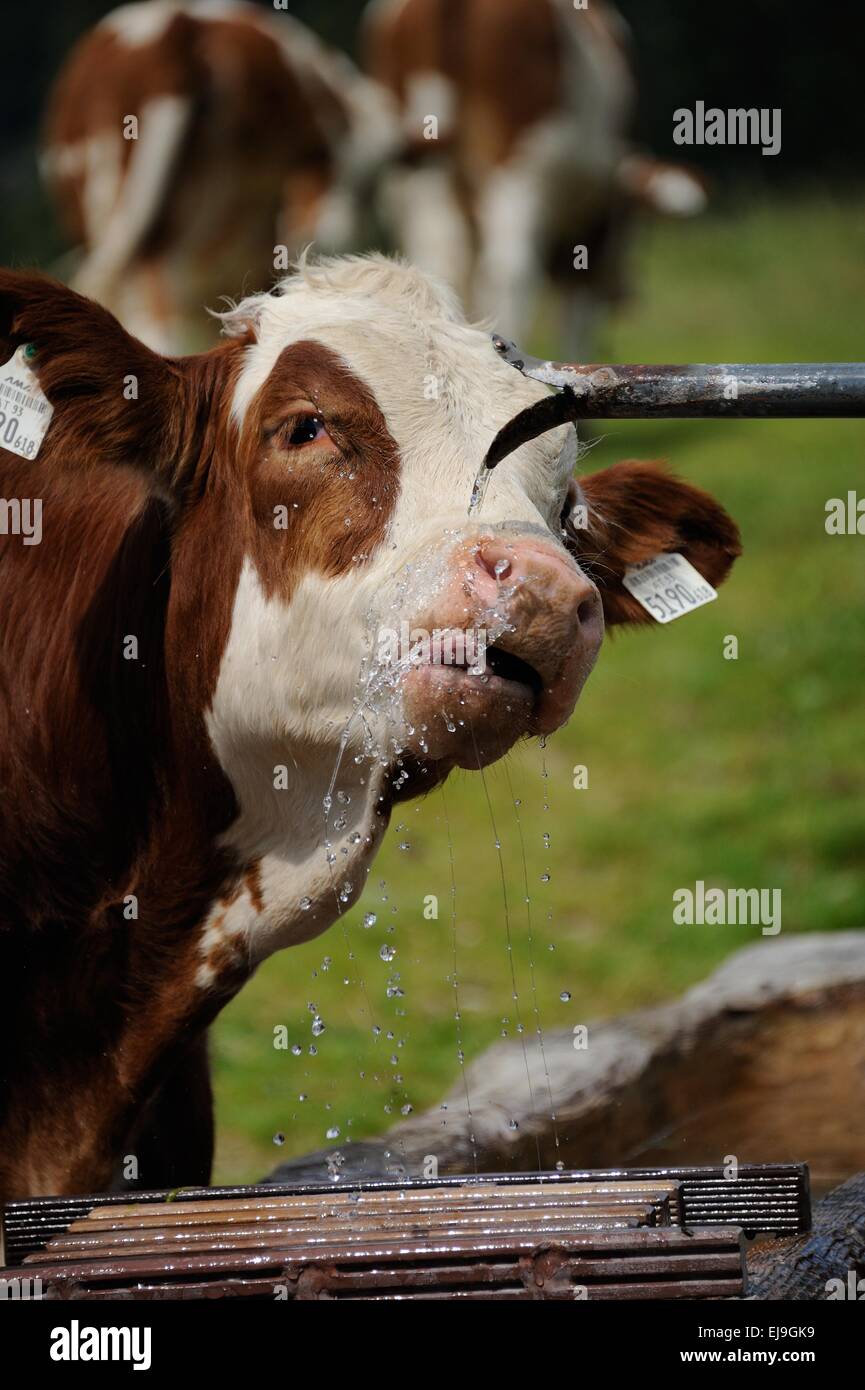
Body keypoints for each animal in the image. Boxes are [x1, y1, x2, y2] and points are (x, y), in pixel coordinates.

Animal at [364, 0, 707, 357]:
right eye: (636, 226)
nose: (626, 293)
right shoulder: (593, 232)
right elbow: (578, 322)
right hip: (518, 174)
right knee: (510, 274)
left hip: (423, 177)